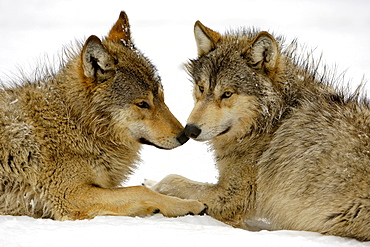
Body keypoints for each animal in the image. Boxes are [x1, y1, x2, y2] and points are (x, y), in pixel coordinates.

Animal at [0, 11, 207, 220]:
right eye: (142, 104)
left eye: (162, 98)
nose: (184, 135)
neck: (78, 124)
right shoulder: (70, 195)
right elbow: (141, 190)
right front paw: (188, 205)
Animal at [147, 21, 370, 241]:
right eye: (201, 88)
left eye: (227, 94)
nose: (190, 130)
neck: (272, 120)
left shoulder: (230, 197)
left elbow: (172, 179)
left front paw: (151, 188)